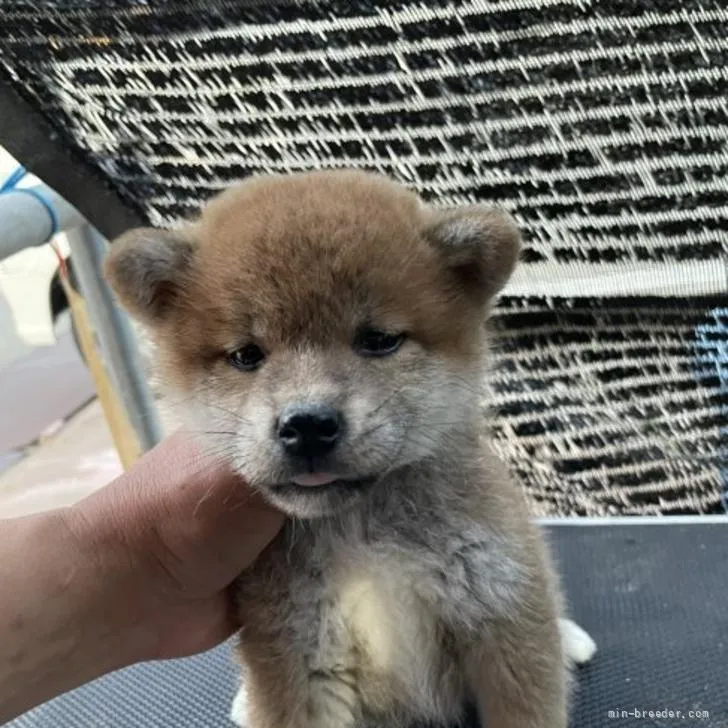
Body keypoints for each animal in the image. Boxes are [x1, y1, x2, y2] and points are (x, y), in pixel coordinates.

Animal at [105, 169, 596, 728]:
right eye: (246, 355)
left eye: (378, 340)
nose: (308, 425)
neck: (366, 540)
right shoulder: (299, 656)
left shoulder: (502, 617)